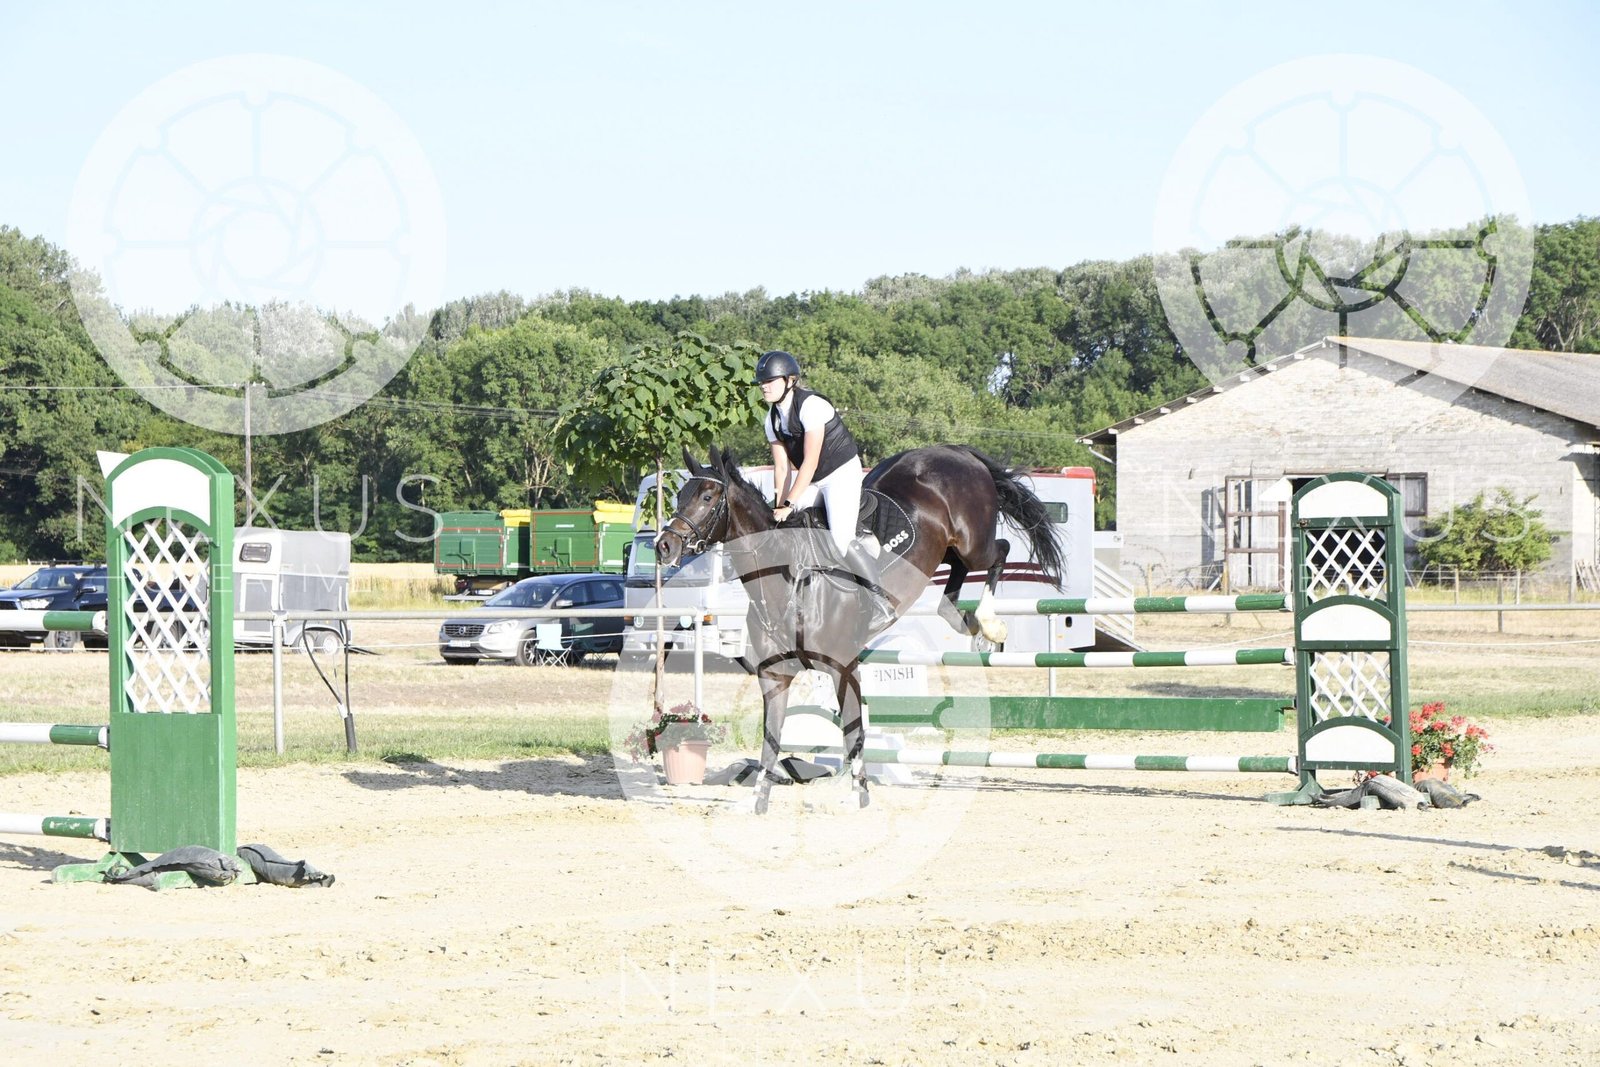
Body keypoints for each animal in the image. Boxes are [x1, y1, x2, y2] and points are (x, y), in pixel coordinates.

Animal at [654, 444, 1066, 814]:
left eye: (707, 497)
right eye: (679, 495)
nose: (664, 546)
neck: (787, 580)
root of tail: (956, 451)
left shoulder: (843, 669)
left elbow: (853, 733)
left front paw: (859, 798)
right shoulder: (775, 675)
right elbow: (772, 738)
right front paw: (757, 801)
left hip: (971, 541)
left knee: (999, 550)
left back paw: (990, 625)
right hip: (947, 549)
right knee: (954, 586)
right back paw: (964, 619)